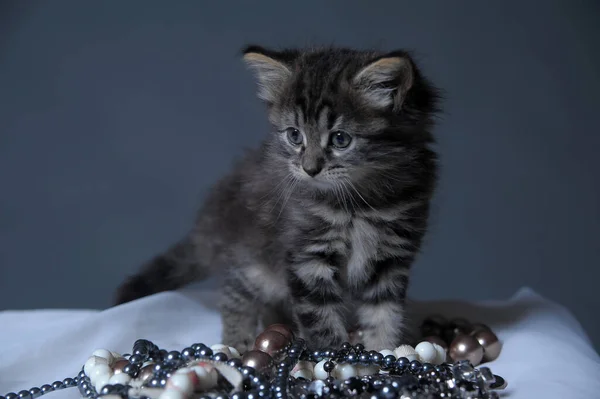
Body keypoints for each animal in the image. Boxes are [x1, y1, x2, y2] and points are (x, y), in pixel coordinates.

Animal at [113, 44, 440, 354]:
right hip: (251, 263)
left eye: (340, 139)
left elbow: (385, 316)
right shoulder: (306, 256)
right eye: (295, 135)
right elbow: (321, 322)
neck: (360, 201)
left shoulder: (391, 259)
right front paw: (336, 359)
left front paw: (384, 354)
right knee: (235, 295)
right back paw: (237, 342)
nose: (309, 169)